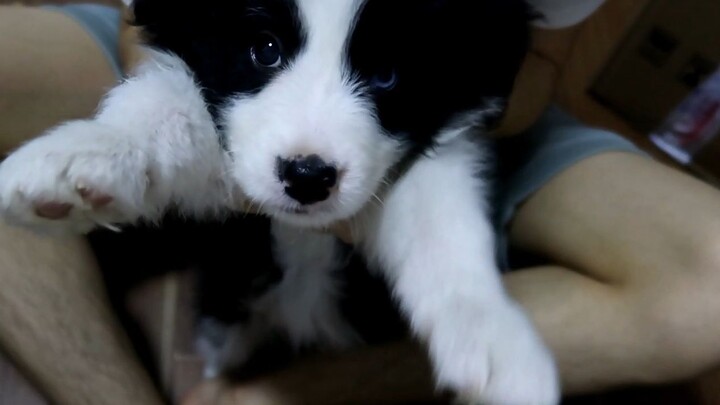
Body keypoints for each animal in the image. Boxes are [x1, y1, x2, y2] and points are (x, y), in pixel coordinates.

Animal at [0, 1, 560, 402]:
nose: (308, 177)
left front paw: (496, 341)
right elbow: (170, 105)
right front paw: (91, 154)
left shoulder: (436, 148)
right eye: (264, 48)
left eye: (387, 74)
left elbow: (442, 228)